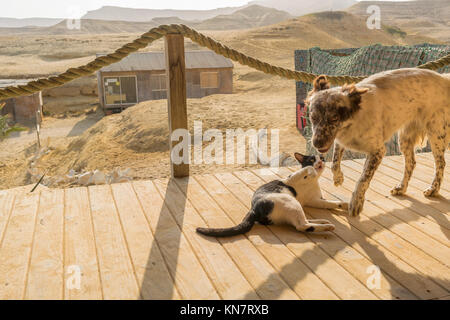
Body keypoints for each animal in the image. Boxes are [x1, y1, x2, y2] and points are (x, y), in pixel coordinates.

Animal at [197, 152, 348, 238]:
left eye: (321, 158)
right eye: (311, 159)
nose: (320, 161)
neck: (313, 181)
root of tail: (253, 209)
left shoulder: (315, 200)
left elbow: (330, 203)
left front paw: (344, 205)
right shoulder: (293, 179)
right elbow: (305, 170)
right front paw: (310, 170)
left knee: (303, 222)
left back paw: (323, 222)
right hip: (291, 202)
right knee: (301, 226)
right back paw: (327, 226)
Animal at [306, 68, 450, 216]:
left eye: (334, 118)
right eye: (313, 117)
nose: (317, 143)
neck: (354, 120)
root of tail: (444, 79)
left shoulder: (378, 151)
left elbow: (363, 179)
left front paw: (356, 202)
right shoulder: (340, 140)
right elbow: (335, 162)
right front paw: (338, 178)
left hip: (436, 135)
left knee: (441, 163)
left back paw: (433, 189)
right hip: (405, 139)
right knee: (411, 163)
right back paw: (401, 187)